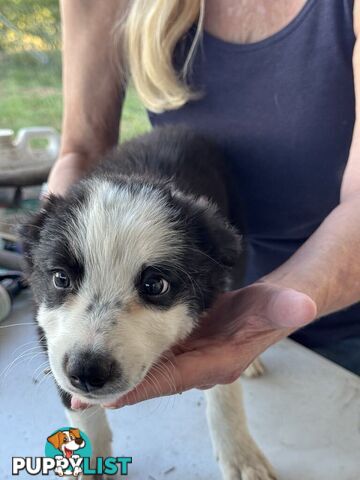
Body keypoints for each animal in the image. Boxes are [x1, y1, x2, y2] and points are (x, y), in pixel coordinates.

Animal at [19, 126, 276, 480]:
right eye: (60, 279)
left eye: (155, 285)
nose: (87, 371)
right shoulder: (48, 334)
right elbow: (81, 411)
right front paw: (90, 462)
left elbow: (225, 391)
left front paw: (241, 455)